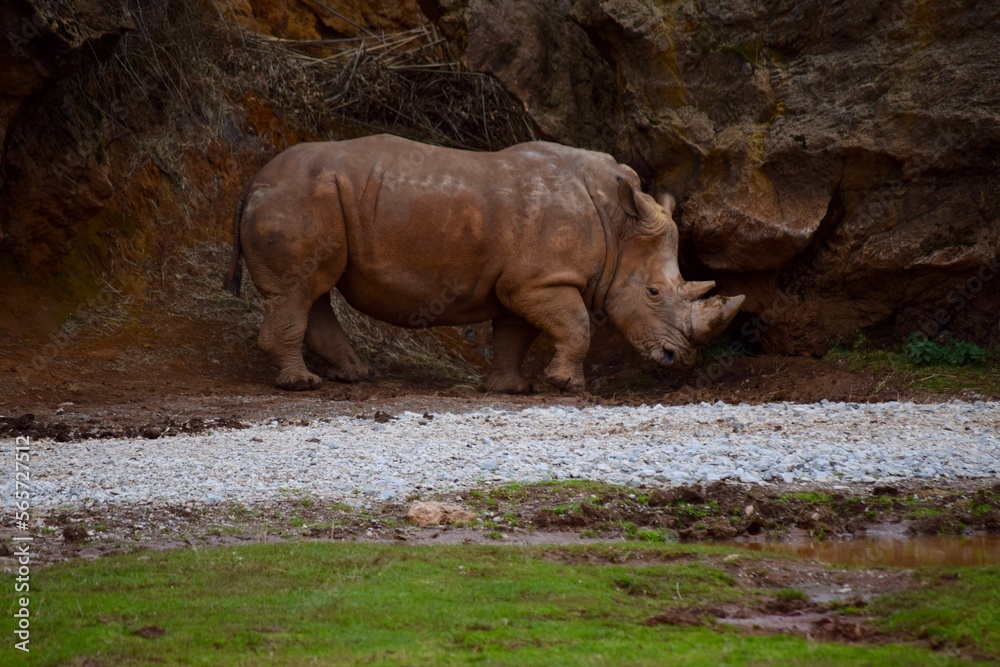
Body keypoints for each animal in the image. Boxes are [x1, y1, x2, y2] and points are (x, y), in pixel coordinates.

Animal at [224, 134, 744, 393]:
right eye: (653, 293)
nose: (678, 359)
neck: (620, 226)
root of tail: (254, 180)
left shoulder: (525, 282)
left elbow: (516, 333)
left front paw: (510, 390)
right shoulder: (543, 280)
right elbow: (577, 325)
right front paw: (566, 386)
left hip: (312, 195)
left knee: (311, 290)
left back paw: (353, 376)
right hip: (297, 198)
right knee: (298, 290)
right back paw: (302, 385)